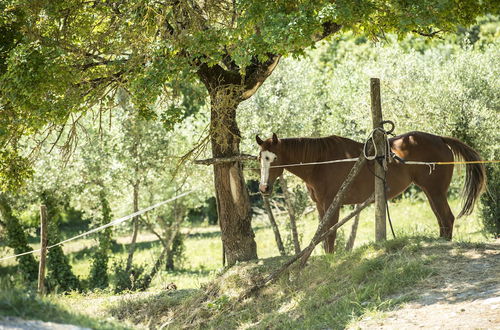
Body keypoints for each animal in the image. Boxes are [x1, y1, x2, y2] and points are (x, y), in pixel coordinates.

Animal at [256, 130, 486, 251]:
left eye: (273, 158)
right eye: (260, 158)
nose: (264, 187)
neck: (321, 163)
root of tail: (440, 138)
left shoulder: (333, 204)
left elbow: (330, 235)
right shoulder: (321, 206)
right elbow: (322, 236)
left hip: (436, 191)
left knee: (447, 218)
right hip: (431, 192)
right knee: (442, 219)